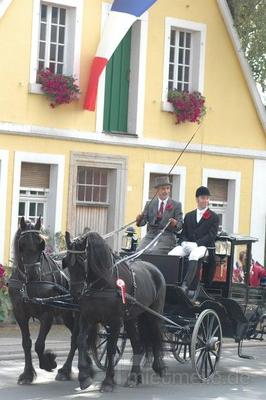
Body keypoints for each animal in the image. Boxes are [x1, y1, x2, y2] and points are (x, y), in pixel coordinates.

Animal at [7, 219, 77, 384]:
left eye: (41, 243)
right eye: (22, 244)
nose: (33, 273)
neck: (28, 283)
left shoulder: (47, 314)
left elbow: (39, 345)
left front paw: (48, 362)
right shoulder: (20, 313)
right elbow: (26, 343)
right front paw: (27, 373)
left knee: (77, 339)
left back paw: (65, 370)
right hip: (66, 315)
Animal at [62, 230, 166, 392]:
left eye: (82, 260)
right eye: (66, 261)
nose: (75, 294)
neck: (103, 283)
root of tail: (154, 269)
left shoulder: (116, 321)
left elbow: (111, 348)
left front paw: (108, 381)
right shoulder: (86, 317)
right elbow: (80, 341)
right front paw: (84, 377)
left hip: (153, 315)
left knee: (156, 336)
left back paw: (159, 367)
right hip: (131, 318)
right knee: (138, 346)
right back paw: (134, 376)